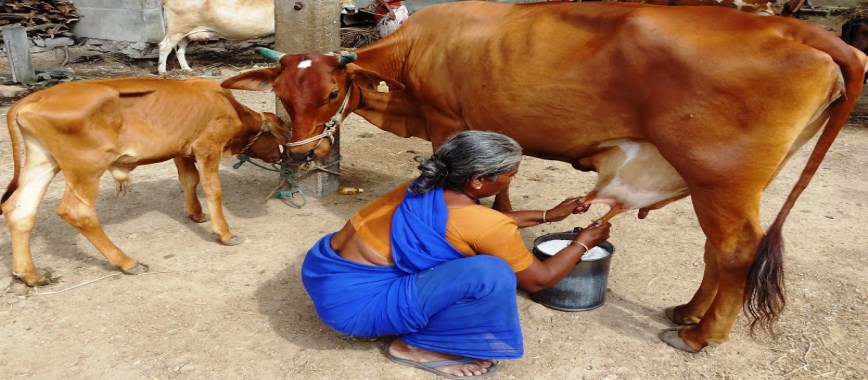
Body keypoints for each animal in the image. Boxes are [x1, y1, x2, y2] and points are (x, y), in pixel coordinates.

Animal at [0, 76, 292, 284]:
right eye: (280, 136)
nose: (281, 157)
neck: (229, 107)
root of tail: (35, 97)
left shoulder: (181, 149)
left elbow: (189, 180)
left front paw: (195, 214)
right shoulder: (207, 147)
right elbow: (212, 189)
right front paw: (225, 233)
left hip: (42, 160)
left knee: (20, 209)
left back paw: (30, 274)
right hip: (86, 168)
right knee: (76, 211)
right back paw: (127, 262)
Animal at [159, 0, 360, 73]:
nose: (352, 8)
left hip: (186, 34)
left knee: (180, 50)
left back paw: (187, 69)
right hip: (177, 29)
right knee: (164, 46)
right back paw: (162, 71)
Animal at [220, 1, 868, 352]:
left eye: (332, 92)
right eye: (281, 95)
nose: (299, 157)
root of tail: (801, 29)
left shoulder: (448, 121)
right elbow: (504, 186)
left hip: (720, 177)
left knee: (734, 249)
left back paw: (700, 336)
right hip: (729, 181)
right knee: (718, 248)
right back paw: (687, 312)